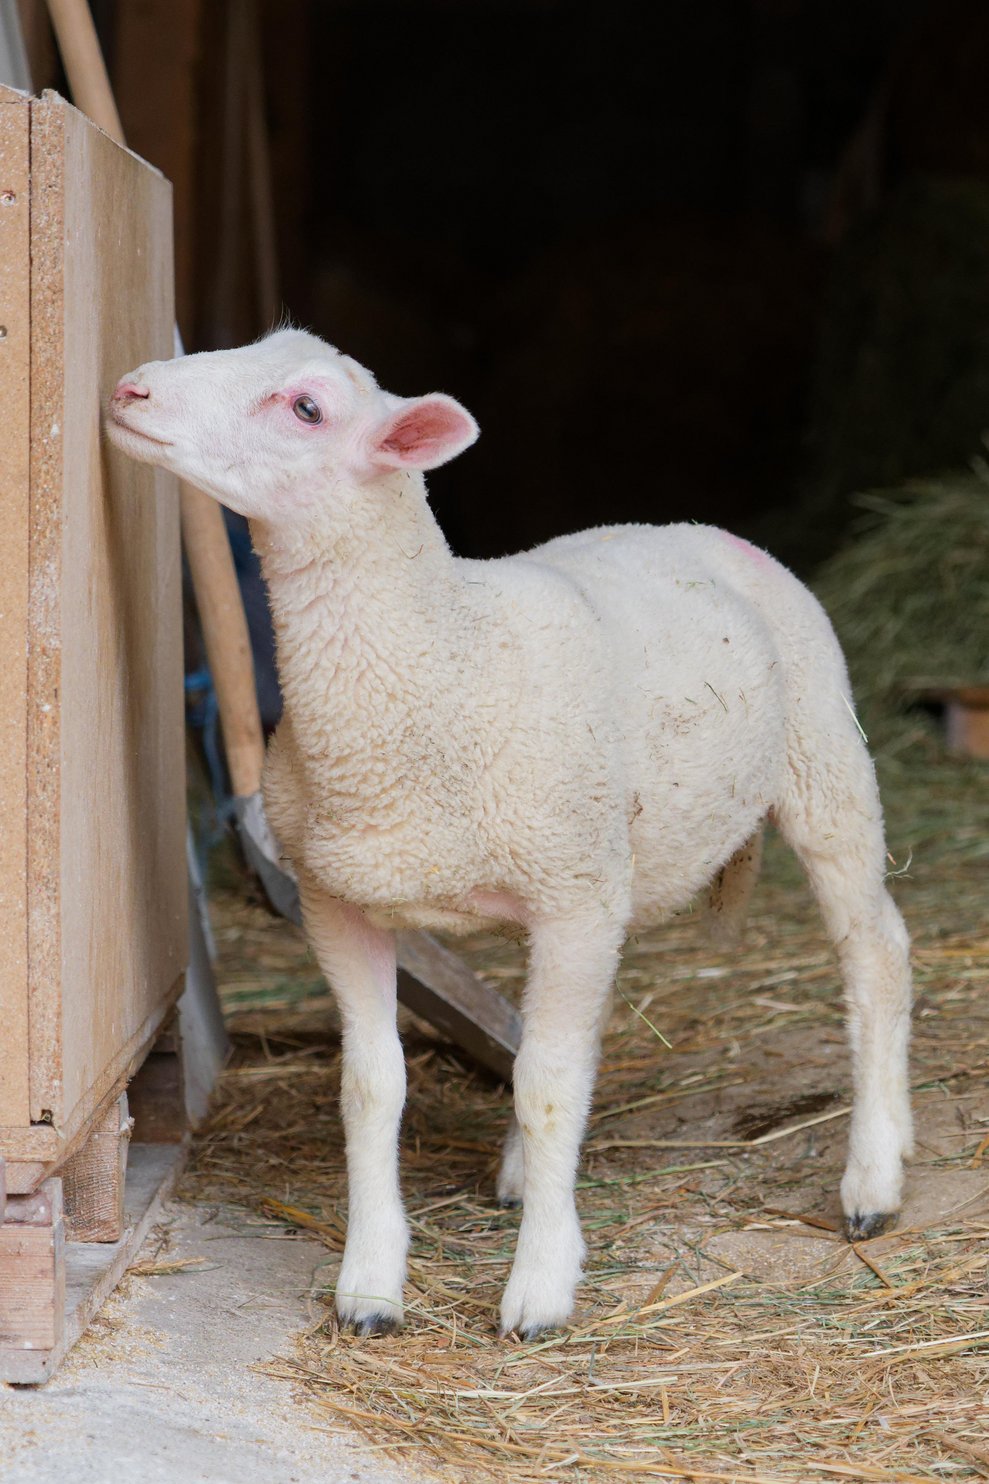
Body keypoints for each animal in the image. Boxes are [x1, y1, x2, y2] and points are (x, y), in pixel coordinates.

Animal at [105, 328, 913, 1340]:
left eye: (306, 408)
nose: (130, 389)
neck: (441, 650)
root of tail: (690, 529)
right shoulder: (340, 902)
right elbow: (374, 1086)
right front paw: (370, 1284)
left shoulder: (568, 896)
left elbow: (545, 1086)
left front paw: (539, 1288)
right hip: (611, 861)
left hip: (820, 760)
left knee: (874, 952)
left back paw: (872, 1177)